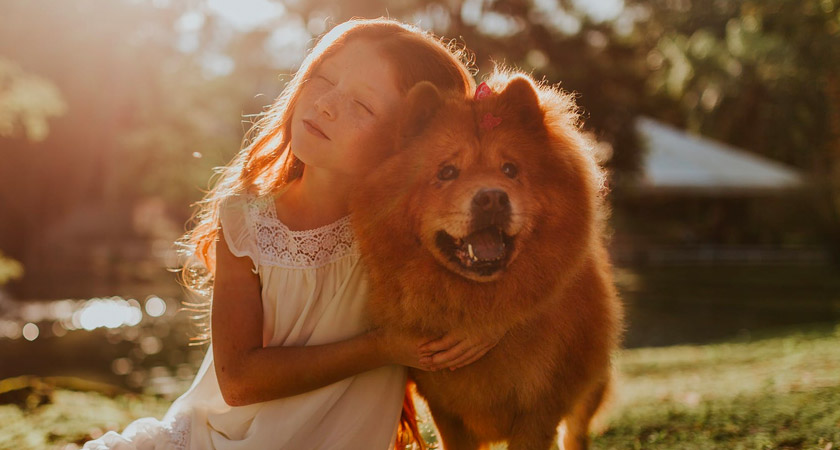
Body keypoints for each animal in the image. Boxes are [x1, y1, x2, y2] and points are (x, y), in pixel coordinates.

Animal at [350, 71, 624, 450]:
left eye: (509, 169)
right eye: (447, 172)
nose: (492, 198)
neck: (479, 305)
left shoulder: (540, 410)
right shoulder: (446, 410)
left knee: (575, 434)